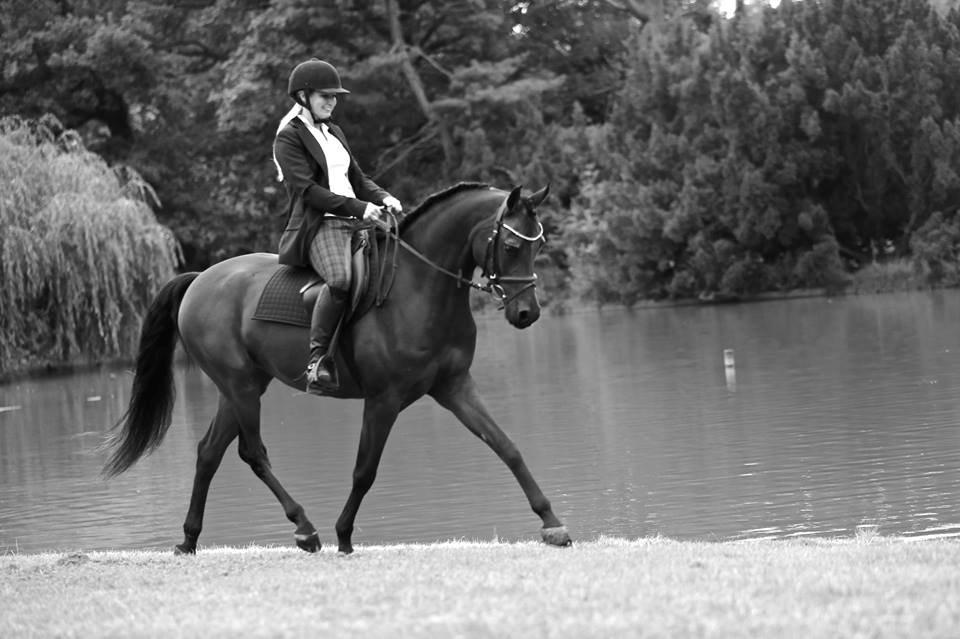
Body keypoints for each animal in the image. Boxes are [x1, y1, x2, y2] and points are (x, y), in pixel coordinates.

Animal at [103, 181, 568, 556]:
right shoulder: (384, 400)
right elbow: (365, 470)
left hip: (241, 387)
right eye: (511, 247)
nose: (527, 313)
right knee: (252, 453)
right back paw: (305, 529)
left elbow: (507, 447)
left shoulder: (455, 387)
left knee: (208, 453)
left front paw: (552, 523)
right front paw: (344, 535)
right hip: (240, 387)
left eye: (539, 245)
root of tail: (200, 279)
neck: (420, 287)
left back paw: (189, 539)